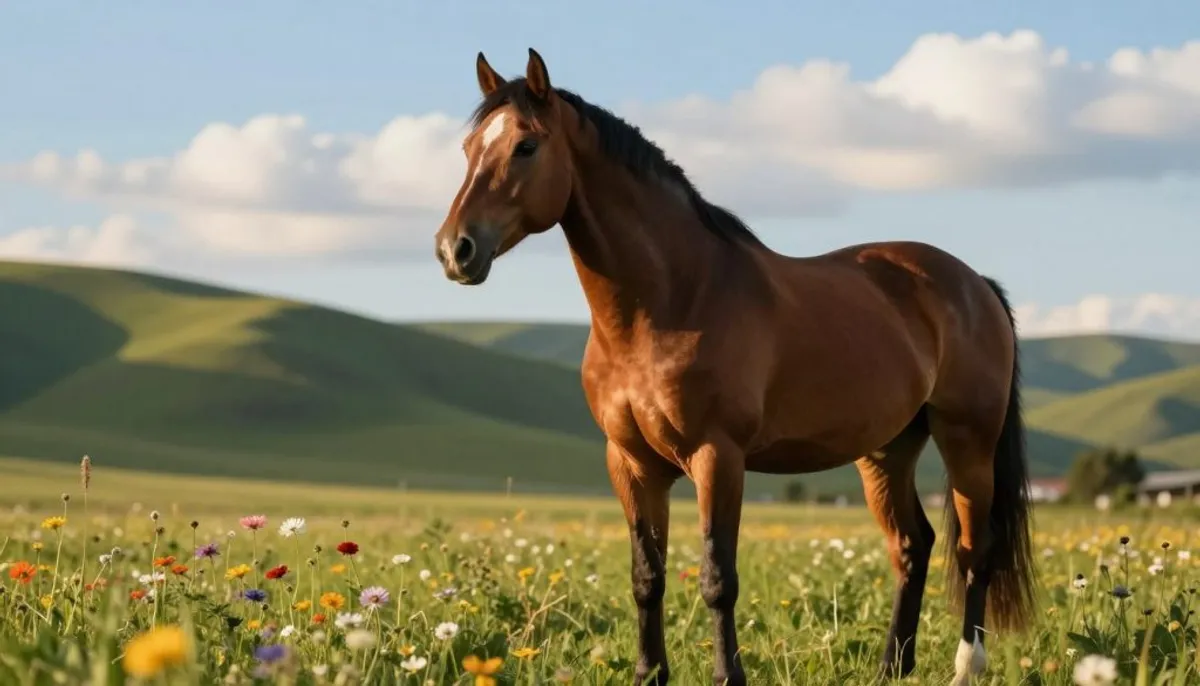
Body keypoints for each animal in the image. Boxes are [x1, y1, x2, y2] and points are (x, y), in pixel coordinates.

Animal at [432, 48, 1037, 686]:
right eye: (468, 148)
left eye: (526, 145)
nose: (455, 250)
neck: (669, 303)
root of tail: (974, 283)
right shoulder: (631, 463)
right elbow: (647, 577)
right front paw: (649, 673)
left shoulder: (717, 456)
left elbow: (717, 578)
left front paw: (728, 675)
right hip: (887, 450)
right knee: (912, 545)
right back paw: (892, 666)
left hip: (967, 441)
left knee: (975, 549)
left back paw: (967, 664)